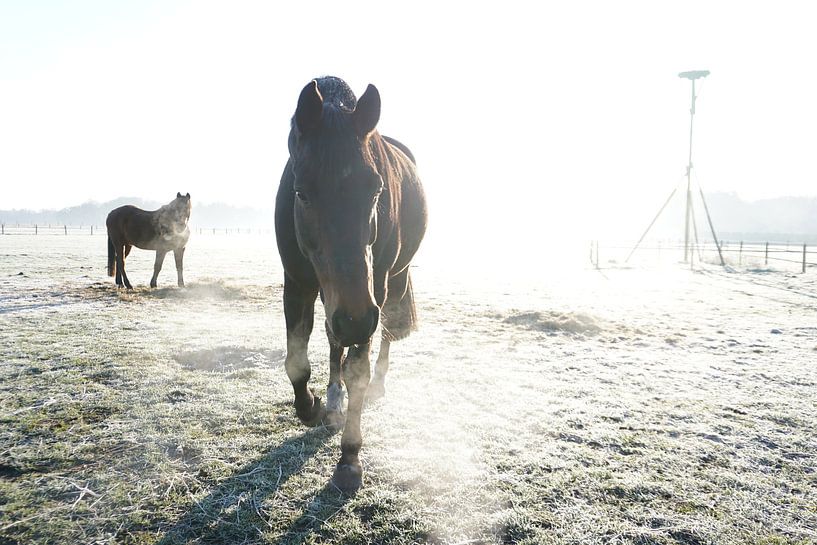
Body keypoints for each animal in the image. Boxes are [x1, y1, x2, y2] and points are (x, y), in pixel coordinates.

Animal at [275, 76, 427, 492]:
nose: (356, 320)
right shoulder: (297, 283)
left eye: (376, 191)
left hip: (392, 282)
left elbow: (358, 367)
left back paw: (377, 383)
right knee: (333, 341)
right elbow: (297, 362)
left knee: (386, 332)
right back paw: (332, 396)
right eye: (301, 192)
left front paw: (350, 457)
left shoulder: (372, 290)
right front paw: (313, 406)